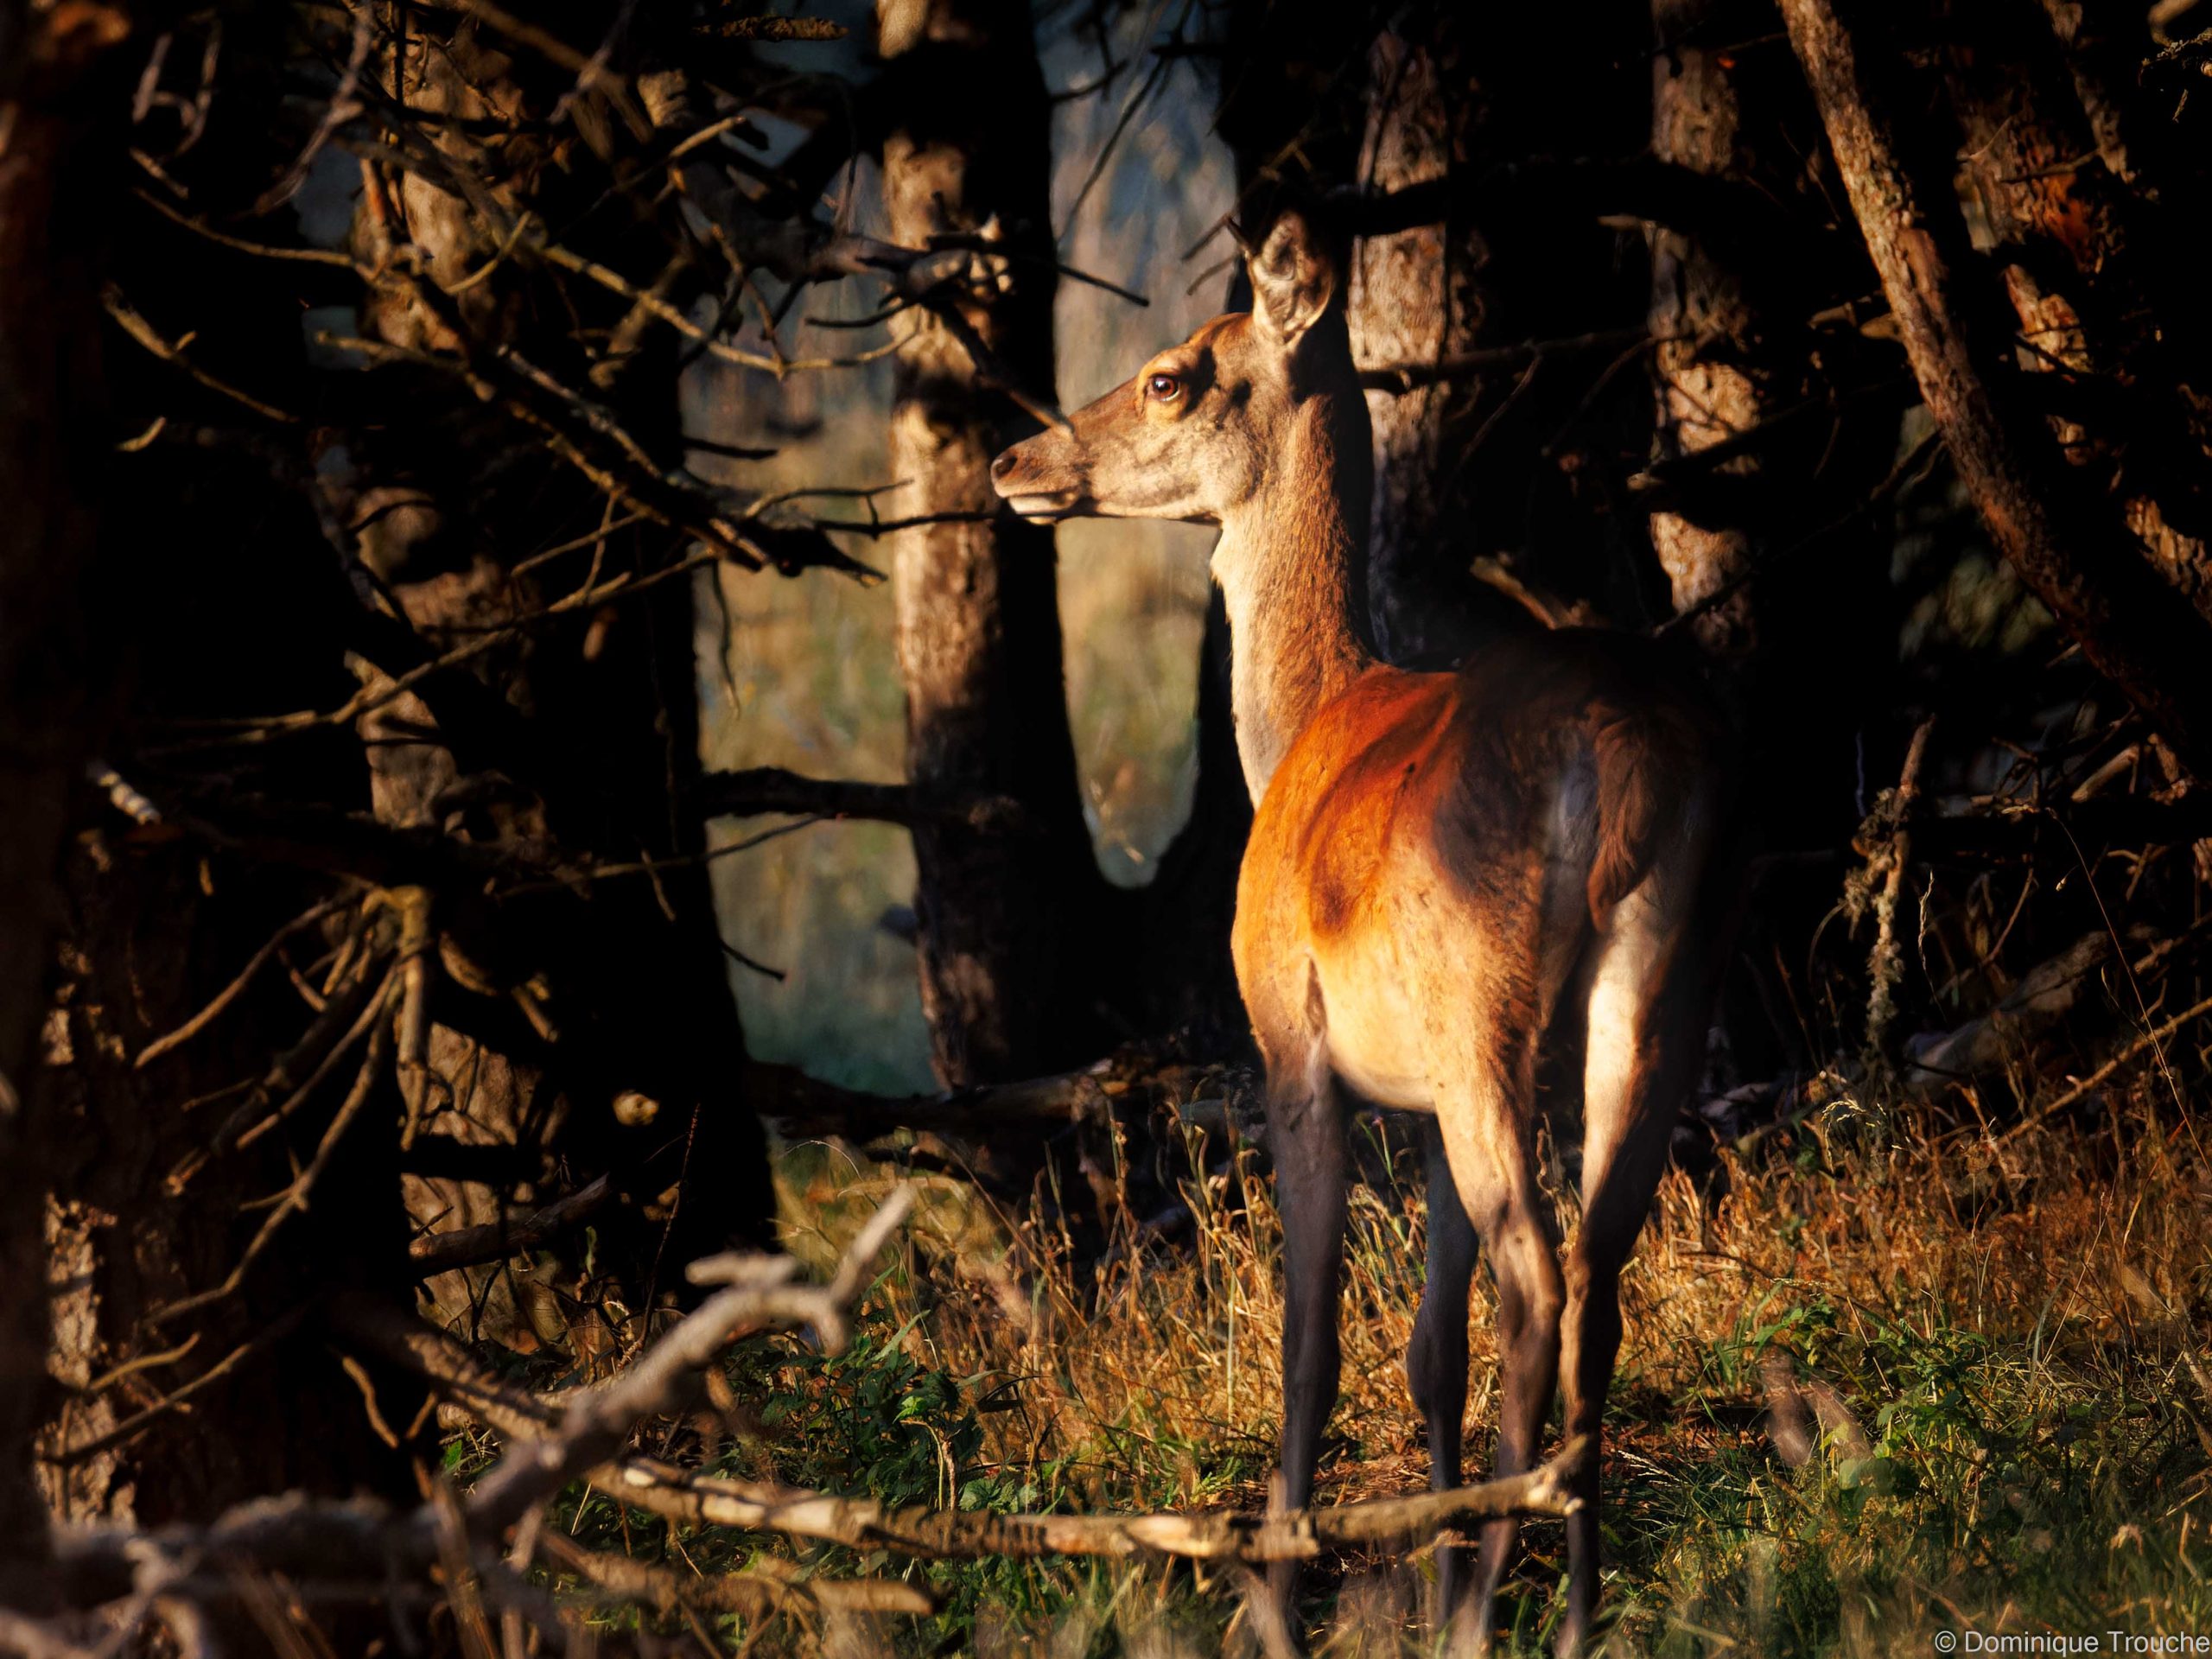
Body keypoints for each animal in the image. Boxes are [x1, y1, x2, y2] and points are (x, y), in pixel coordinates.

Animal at [989, 209, 1739, 1653]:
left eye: (1172, 374)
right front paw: (1430, 1567)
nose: (1013, 460)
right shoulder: (1423, 1112)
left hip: (1479, 1006)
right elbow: (1428, 1348)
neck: (1302, 727)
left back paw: (1494, 1602)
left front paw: (1286, 1590)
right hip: (1654, 991)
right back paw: (1568, 1604)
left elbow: (1314, 1338)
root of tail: (1622, 752)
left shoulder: (1290, 1044)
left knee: (1538, 1278)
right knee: (1598, 1272)